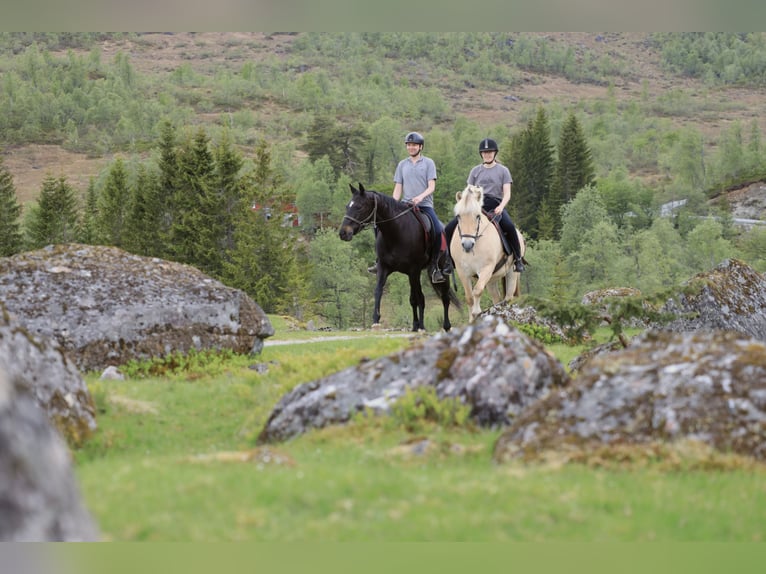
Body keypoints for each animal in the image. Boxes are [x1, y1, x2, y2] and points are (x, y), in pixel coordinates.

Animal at [340, 184, 460, 332]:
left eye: (360, 207)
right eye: (347, 206)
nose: (343, 233)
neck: (396, 232)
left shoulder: (414, 270)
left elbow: (419, 298)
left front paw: (421, 326)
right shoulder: (384, 268)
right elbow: (379, 291)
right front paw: (376, 320)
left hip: (441, 272)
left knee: (445, 297)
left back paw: (446, 326)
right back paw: (416, 325)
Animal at [450, 186, 528, 322]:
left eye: (477, 216)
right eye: (458, 216)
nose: (467, 245)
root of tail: (520, 235)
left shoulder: (486, 269)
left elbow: (477, 291)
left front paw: (476, 313)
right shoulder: (463, 272)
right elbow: (469, 298)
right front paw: (472, 320)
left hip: (511, 273)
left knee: (508, 298)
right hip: (492, 280)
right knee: (497, 299)